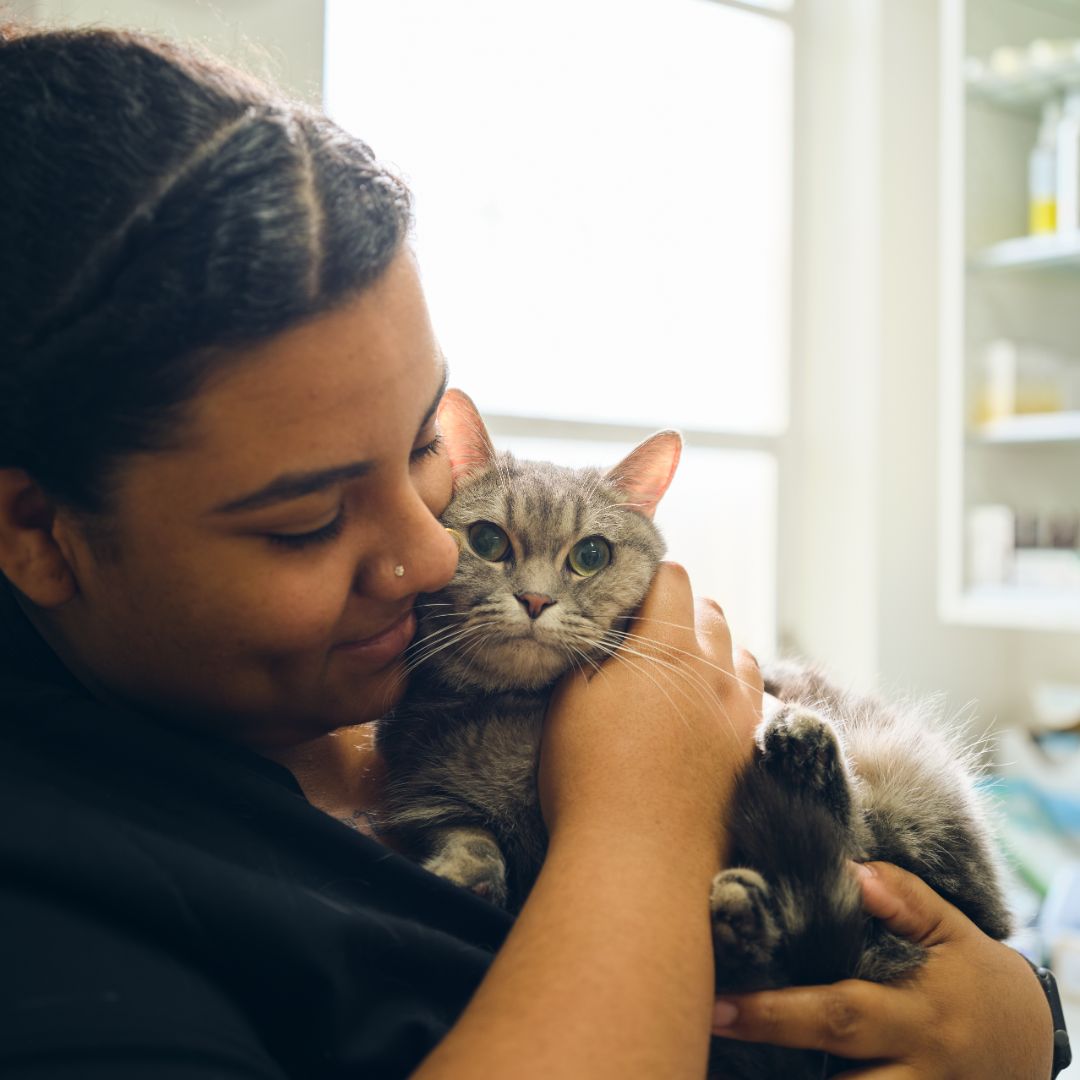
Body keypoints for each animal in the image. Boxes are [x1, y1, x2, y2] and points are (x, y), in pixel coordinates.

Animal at [378, 390, 1010, 1080]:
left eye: (591, 555)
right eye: (488, 541)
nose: (536, 599)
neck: (516, 723)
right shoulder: (426, 795)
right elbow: (467, 835)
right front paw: (465, 873)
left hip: (908, 786)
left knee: (855, 845)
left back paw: (797, 762)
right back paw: (742, 920)